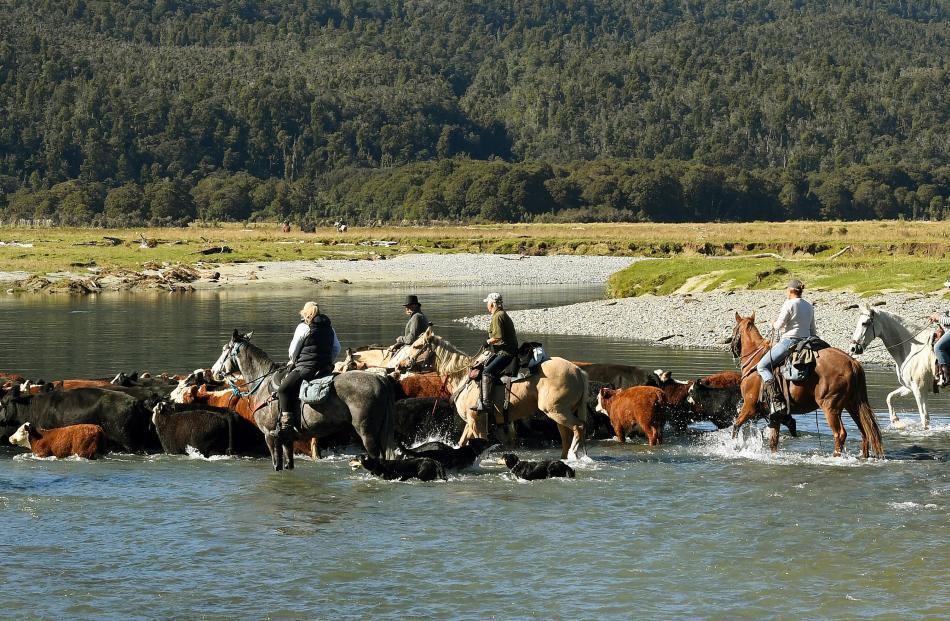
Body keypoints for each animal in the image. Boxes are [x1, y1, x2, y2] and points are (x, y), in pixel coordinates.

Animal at [210, 330, 396, 470]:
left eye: (225, 349)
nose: (214, 371)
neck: (263, 383)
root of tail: (379, 379)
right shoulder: (287, 439)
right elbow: (288, 465)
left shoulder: (270, 436)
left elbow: (277, 466)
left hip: (367, 433)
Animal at [406, 326, 592, 458]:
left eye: (417, 346)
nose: (403, 364)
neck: (464, 377)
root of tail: (577, 370)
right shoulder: (471, 421)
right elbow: (462, 442)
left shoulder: (477, 420)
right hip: (559, 413)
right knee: (567, 435)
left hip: (556, 411)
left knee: (579, 427)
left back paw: (575, 454)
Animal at [732, 312, 888, 458]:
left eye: (734, 329)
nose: (732, 349)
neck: (755, 362)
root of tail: (852, 362)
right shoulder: (774, 415)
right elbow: (773, 442)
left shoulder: (749, 406)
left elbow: (736, 425)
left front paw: (733, 447)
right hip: (853, 404)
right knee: (865, 431)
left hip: (830, 406)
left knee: (840, 434)